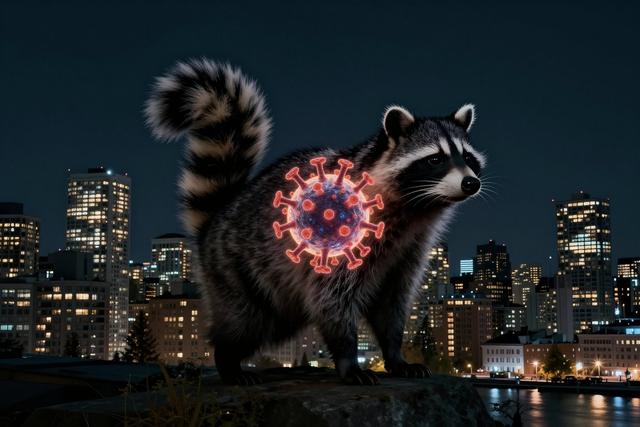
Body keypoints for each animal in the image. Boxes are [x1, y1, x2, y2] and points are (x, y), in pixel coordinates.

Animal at [145, 58, 486, 385]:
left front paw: (395, 355)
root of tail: (218, 217)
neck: (416, 209)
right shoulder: (341, 239)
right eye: (435, 159)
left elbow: (392, 305)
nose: (471, 183)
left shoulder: (408, 251)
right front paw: (348, 359)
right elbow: (332, 301)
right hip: (234, 270)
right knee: (244, 320)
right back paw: (228, 360)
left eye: (468, 158)